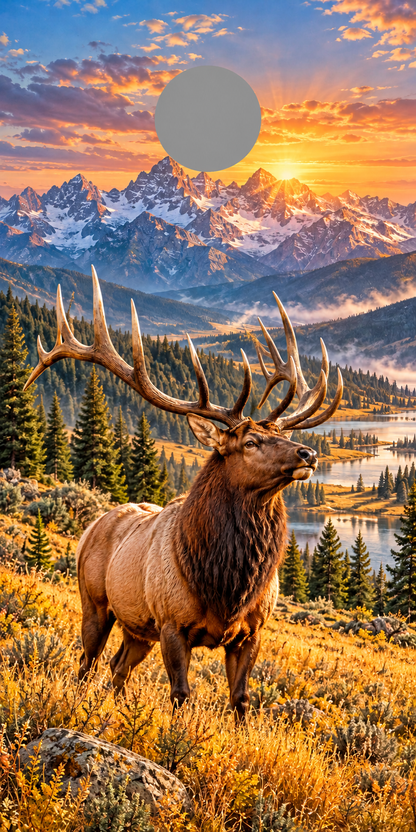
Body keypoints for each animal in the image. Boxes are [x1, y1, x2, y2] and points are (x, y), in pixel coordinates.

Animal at [24, 266, 343, 719]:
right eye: (250, 442)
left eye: (280, 433)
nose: (308, 453)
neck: (226, 585)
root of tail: (92, 525)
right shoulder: (173, 624)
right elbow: (180, 695)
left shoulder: (252, 632)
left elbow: (241, 701)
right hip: (96, 603)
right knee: (86, 664)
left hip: (139, 629)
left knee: (118, 668)